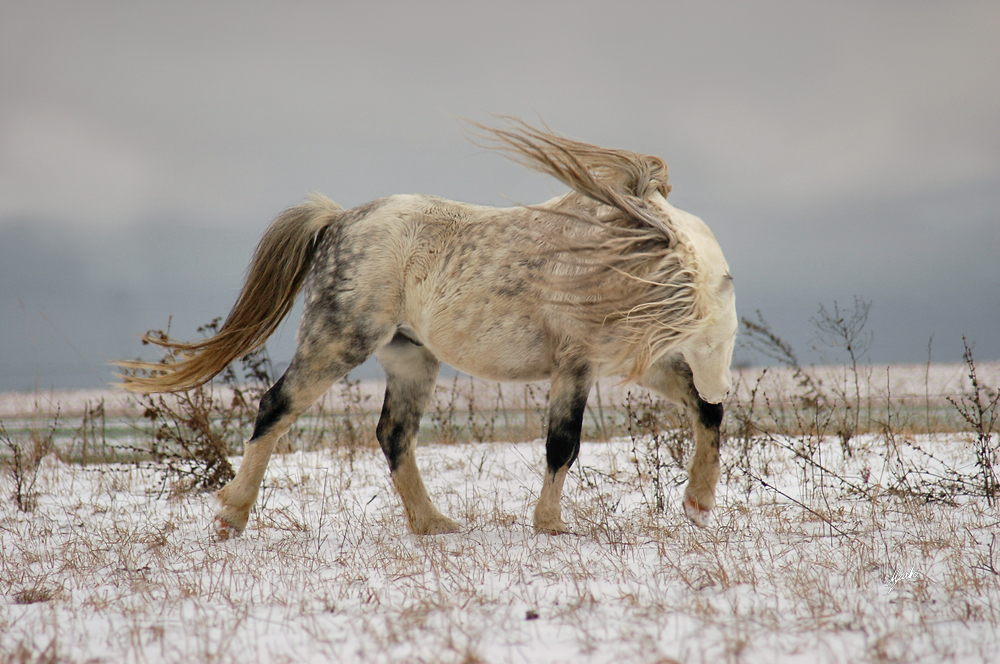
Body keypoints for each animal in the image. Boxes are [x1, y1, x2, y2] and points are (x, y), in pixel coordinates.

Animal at [121, 118, 740, 536]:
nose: (722, 375)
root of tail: (339, 220)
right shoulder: (576, 365)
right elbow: (562, 445)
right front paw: (550, 524)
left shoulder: (639, 362)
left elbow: (703, 413)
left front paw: (699, 502)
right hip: (338, 342)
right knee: (276, 407)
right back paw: (232, 514)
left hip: (410, 357)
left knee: (394, 434)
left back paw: (432, 522)